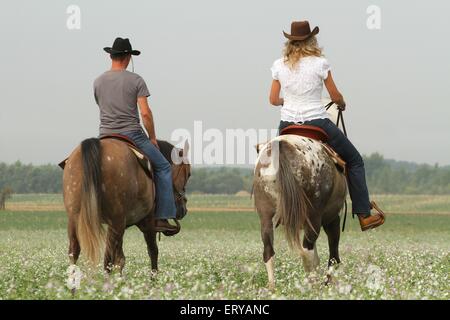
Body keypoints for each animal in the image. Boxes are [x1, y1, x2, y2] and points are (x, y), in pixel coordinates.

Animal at [62, 136, 190, 272]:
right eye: (188, 174)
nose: (183, 209)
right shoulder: (148, 222)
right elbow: (153, 251)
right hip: (116, 221)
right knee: (114, 260)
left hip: (76, 218)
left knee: (75, 253)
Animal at [253, 134, 348, 288]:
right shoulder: (332, 219)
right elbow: (333, 252)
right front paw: (330, 281)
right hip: (315, 217)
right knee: (308, 251)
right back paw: (313, 284)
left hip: (266, 216)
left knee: (268, 251)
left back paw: (272, 286)